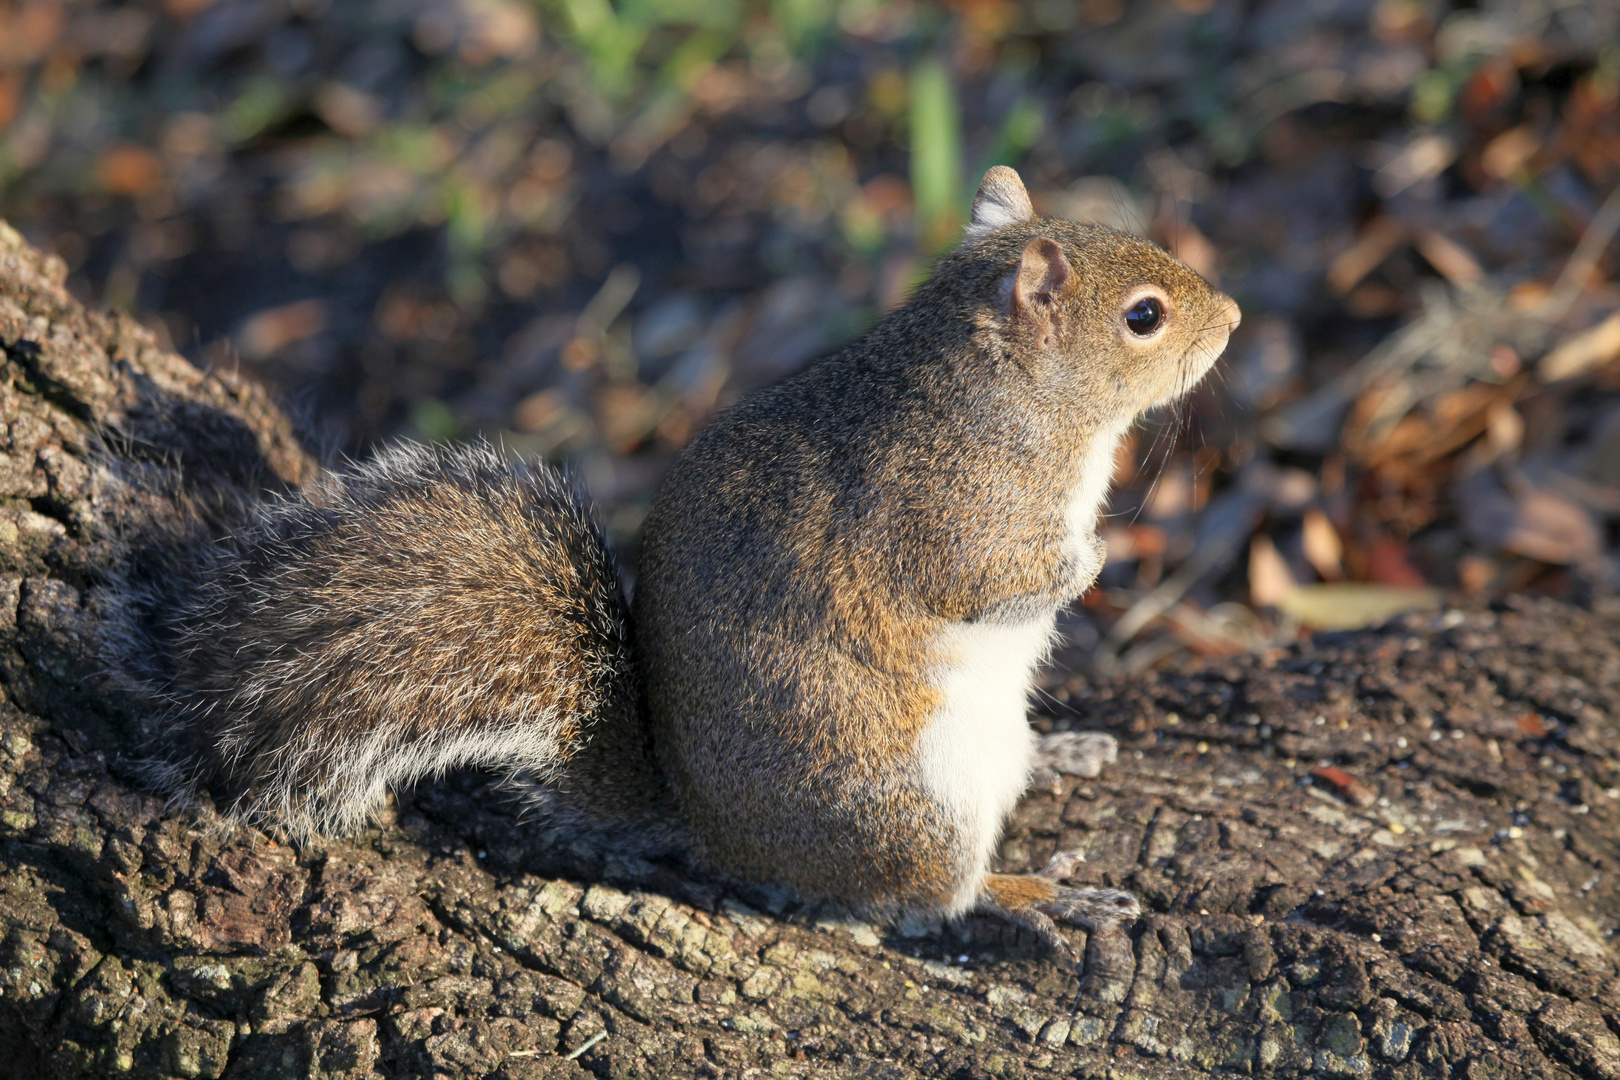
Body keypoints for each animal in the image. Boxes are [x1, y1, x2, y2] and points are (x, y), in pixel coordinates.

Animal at [101, 166, 1237, 952]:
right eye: (1143, 316)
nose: (1231, 317)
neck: (1010, 396)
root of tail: (715, 831)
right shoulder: (956, 513)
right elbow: (1002, 580)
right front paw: (1099, 557)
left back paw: (1065, 751)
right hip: (913, 803)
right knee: (926, 897)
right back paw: (1038, 895)